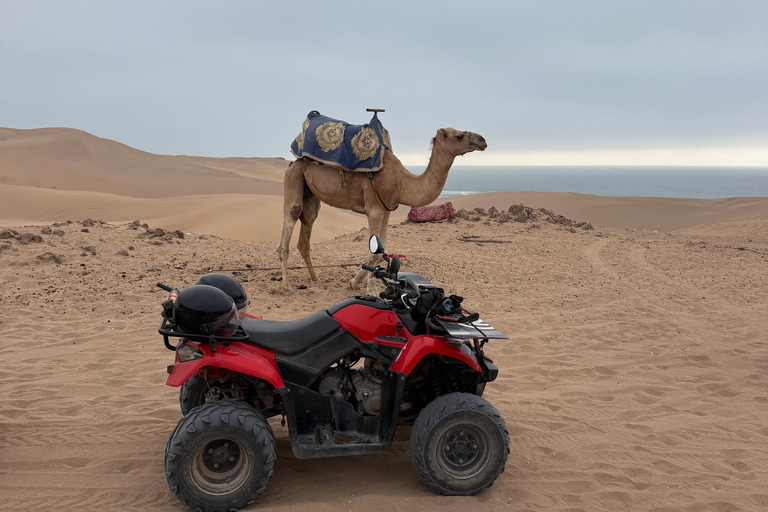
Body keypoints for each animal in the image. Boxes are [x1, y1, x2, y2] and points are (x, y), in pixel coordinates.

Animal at [278, 127, 487, 291]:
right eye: (459, 135)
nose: (482, 140)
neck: (401, 182)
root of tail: (293, 162)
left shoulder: (386, 211)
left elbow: (381, 250)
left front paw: (357, 282)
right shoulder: (374, 211)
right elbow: (374, 253)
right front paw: (361, 286)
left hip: (311, 194)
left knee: (305, 234)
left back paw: (315, 278)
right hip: (294, 178)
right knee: (290, 220)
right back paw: (285, 286)